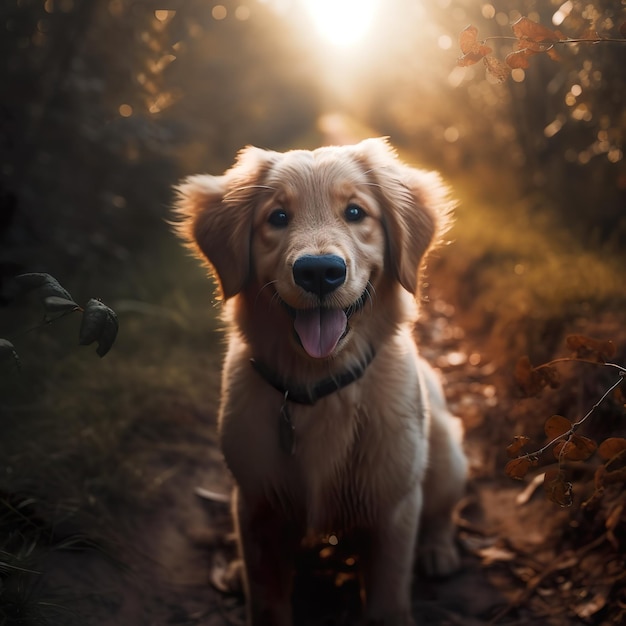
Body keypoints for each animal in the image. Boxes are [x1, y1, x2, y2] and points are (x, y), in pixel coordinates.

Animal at [173, 140, 466, 624]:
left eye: (355, 212)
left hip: (444, 449)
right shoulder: (258, 506)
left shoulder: (393, 511)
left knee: (443, 508)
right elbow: (267, 602)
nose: (319, 272)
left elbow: (387, 603)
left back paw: (438, 551)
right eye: (277, 217)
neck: (320, 383)